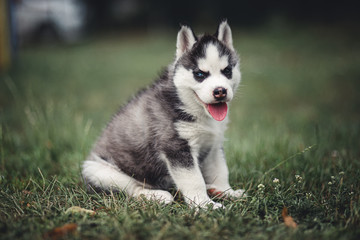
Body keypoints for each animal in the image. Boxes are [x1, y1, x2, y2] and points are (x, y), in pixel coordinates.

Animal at [81, 20, 245, 208]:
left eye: (227, 71)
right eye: (200, 74)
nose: (220, 91)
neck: (195, 110)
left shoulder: (213, 145)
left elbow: (221, 170)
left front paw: (227, 191)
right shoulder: (176, 148)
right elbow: (194, 180)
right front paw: (204, 205)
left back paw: (212, 189)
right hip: (98, 170)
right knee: (132, 188)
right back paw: (156, 195)